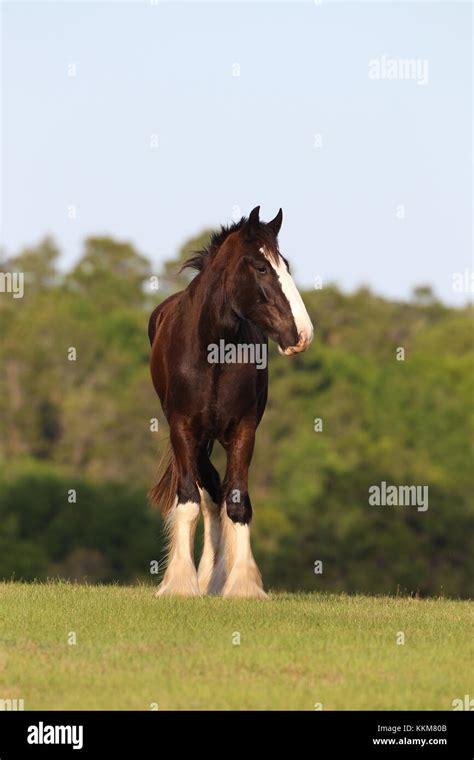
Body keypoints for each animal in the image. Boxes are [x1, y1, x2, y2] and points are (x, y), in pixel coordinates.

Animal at [146, 208, 312, 600]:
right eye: (262, 267)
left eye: (285, 265)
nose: (302, 334)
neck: (213, 351)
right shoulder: (183, 429)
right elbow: (189, 500)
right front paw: (180, 583)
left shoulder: (243, 431)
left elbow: (237, 502)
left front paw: (242, 585)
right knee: (206, 494)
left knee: (217, 494)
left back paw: (215, 577)